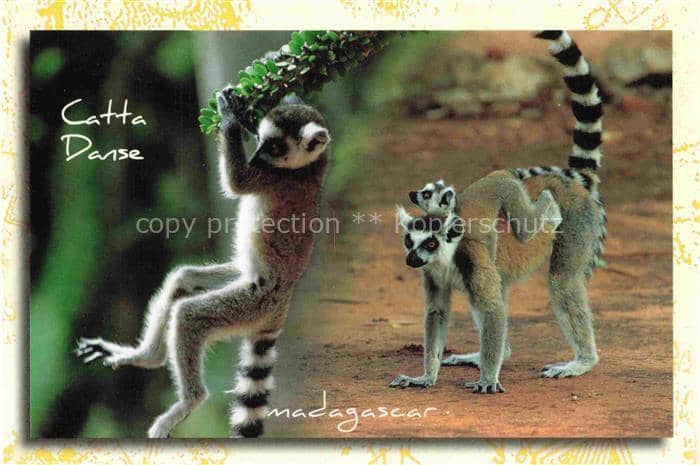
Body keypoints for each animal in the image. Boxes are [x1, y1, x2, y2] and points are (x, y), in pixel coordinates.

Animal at [76, 89, 332, 438]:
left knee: (190, 316)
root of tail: (282, 303)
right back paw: (147, 356)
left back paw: (189, 402)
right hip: (237, 279)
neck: (309, 167)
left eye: (275, 147)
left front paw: (229, 119)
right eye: (261, 140)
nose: (255, 157)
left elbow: (238, 182)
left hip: (252, 302)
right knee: (183, 279)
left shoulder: (275, 178)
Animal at [390, 30, 606, 393]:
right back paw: (486, 356)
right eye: (410, 241)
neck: (446, 260)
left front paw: (488, 380)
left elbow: (493, 312)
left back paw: (582, 361)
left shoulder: (473, 257)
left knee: (562, 280)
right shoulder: (433, 274)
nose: (411, 259)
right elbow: (437, 313)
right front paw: (426, 376)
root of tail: (571, 183)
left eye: (430, 243)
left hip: (577, 223)